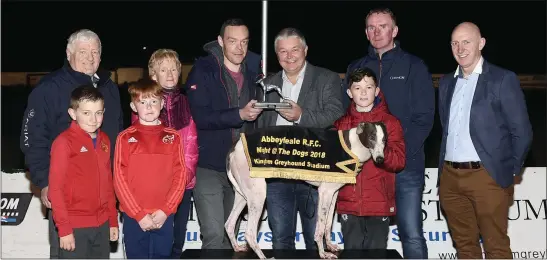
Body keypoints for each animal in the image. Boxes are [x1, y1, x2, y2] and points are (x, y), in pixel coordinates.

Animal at [225, 123, 388, 258]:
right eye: (372, 137)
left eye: (384, 140)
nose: (380, 159)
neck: (352, 146)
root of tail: (235, 147)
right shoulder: (325, 193)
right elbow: (320, 228)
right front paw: (323, 253)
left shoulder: (333, 193)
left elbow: (328, 224)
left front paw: (330, 246)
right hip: (257, 195)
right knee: (249, 233)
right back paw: (263, 257)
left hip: (243, 195)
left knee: (229, 224)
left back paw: (237, 247)